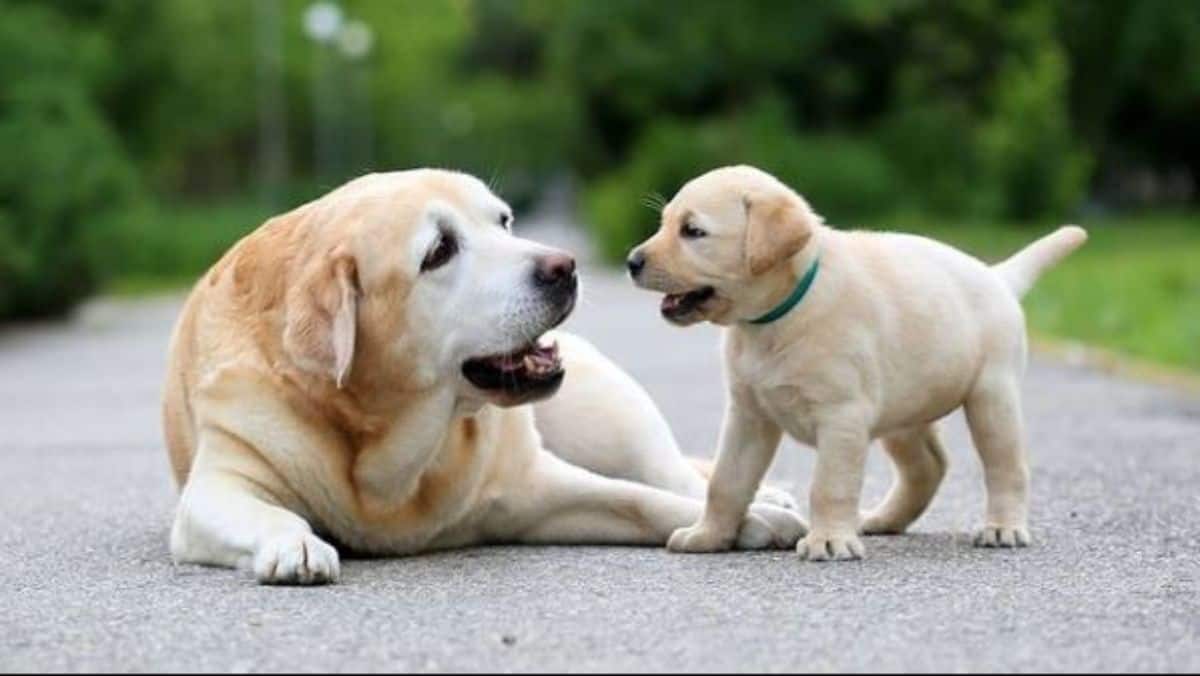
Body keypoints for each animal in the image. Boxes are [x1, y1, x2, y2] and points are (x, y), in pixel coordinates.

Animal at [159, 170, 801, 588]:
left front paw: (743, 521)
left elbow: (644, 500)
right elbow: (268, 511)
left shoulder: (536, 486)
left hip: (607, 410)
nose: (564, 266)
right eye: (439, 250)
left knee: (669, 470)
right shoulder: (216, 488)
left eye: (505, 220)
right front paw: (294, 543)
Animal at [628, 166, 1089, 564]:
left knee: (1006, 467)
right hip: (904, 414)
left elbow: (828, 486)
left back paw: (1003, 527)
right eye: (665, 223)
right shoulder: (748, 415)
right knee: (929, 466)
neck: (777, 317)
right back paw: (882, 519)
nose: (632, 261)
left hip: (992, 398)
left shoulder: (841, 417)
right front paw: (709, 534)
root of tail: (998, 276)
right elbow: (726, 481)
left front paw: (830, 539)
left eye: (693, 231)